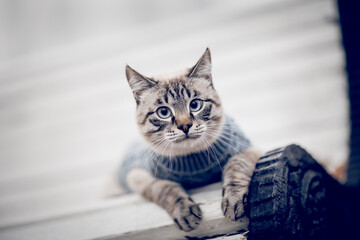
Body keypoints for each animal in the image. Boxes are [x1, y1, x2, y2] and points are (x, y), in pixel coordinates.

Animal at [119, 48, 260, 231]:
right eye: (163, 112)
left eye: (195, 105)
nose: (185, 126)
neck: (193, 162)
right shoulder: (140, 177)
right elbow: (166, 188)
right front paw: (185, 213)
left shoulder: (247, 149)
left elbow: (236, 166)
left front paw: (234, 202)